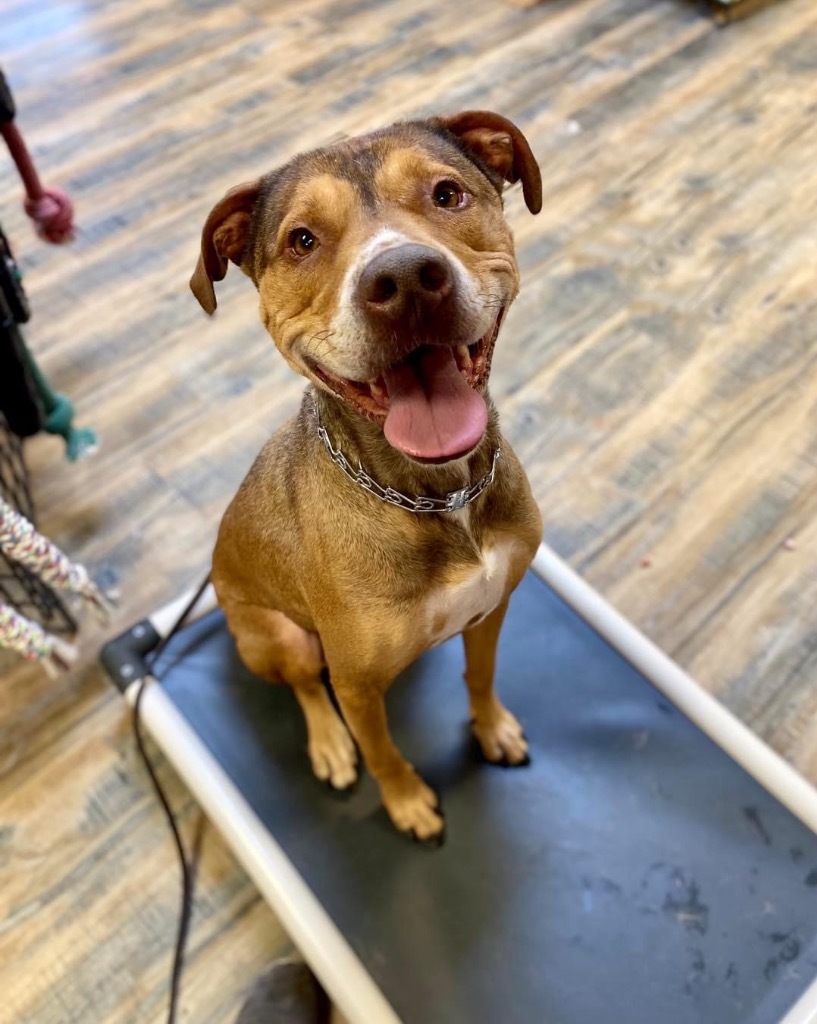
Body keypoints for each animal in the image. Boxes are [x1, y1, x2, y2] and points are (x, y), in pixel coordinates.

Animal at [193, 112, 544, 839]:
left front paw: (491, 728)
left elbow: (481, 677)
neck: (439, 498)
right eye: (301, 240)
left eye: (446, 194)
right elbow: (382, 751)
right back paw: (328, 744)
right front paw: (407, 802)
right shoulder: (355, 686)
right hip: (280, 638)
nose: (405, 278)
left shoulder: (491, 610)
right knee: (305, 685)